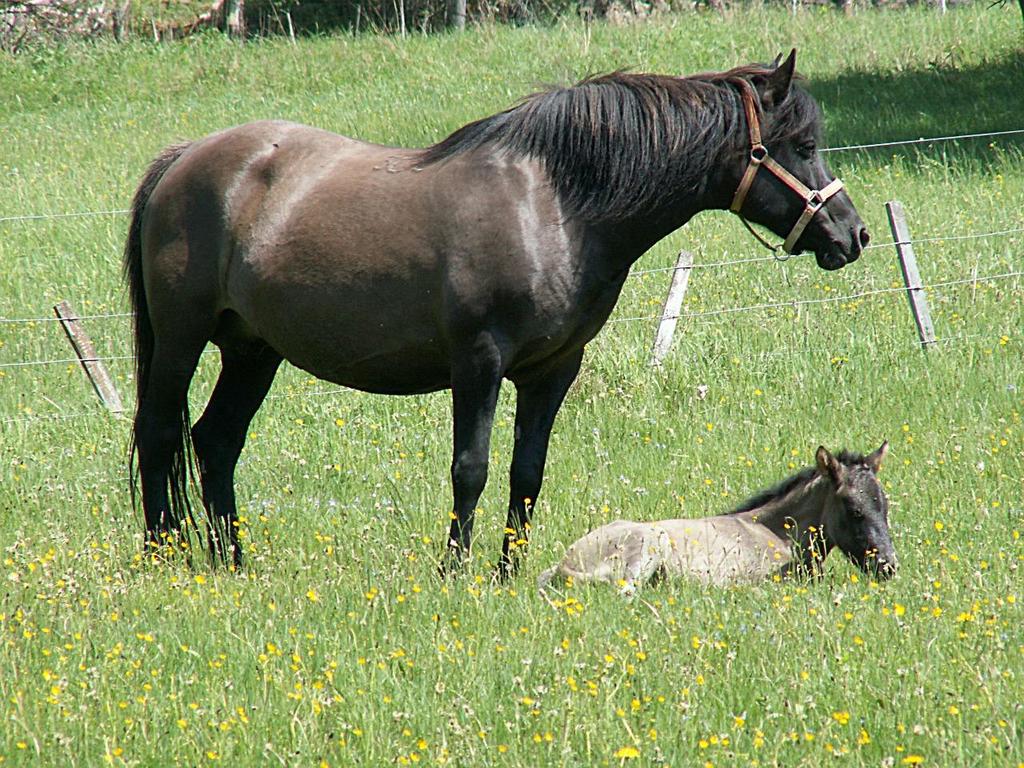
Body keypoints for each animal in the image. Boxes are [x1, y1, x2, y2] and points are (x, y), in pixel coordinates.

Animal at [123, 48, 868, 573]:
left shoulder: (553, 372)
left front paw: (509, 573)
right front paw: (455, 571)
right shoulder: (477, 363)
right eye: (802, 146)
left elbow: (525, 474)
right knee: (159, 434)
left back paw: (233, 561)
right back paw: (164, 556)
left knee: (215, 442)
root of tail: (185, 157)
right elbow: (471, 468)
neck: (556, 206)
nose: (853, 234)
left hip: (254, 351)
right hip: (182, 339)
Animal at [540, 444, 892, 593]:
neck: (777, 534)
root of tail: (563, 565)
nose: (888, 566)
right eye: (854, 510)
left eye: (886, 508)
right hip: (647, 548)